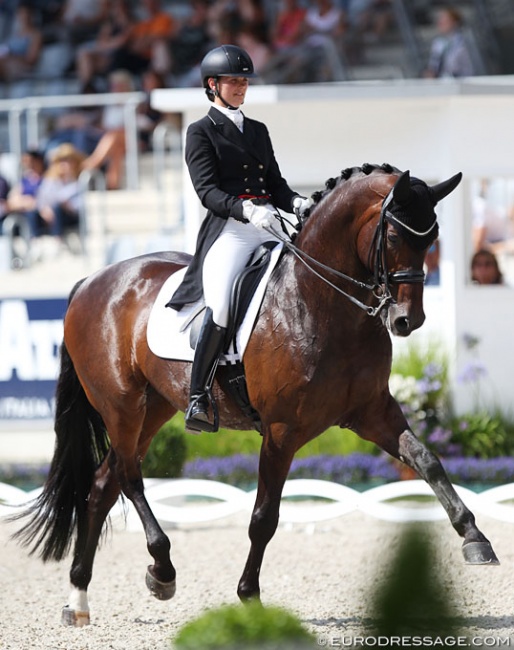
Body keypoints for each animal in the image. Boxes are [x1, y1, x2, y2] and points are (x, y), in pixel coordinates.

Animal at [12, 162, 496, 624]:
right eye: (394, 234)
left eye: (432, 238)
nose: (406, 320)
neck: (321, 303)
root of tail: (92, 281)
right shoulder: (281, 431)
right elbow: (264, 517)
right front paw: (249, 596)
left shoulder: (372, 411)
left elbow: (427, 460)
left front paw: (475, 539)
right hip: (121, 405)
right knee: (130, 478)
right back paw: (161, 570)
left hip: (154, 409)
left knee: (102, 484)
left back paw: (79, 598)